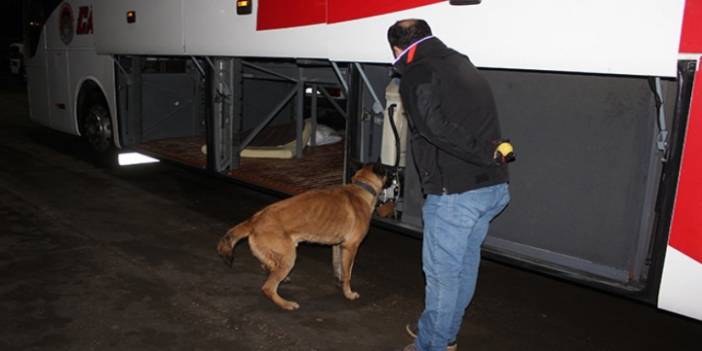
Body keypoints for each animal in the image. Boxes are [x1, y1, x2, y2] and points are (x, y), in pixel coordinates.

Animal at [217, 164, 388, 310]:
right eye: (389, 170)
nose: (394, 173)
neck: (361, 187)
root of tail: (254, 220)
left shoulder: (338, 245)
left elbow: (338, 267)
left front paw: (339, 282)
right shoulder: (351, 247)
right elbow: (348, 274)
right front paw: (349, 293)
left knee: (267, 267)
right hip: (289, 257)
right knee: (268, 287)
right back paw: (286, 304)